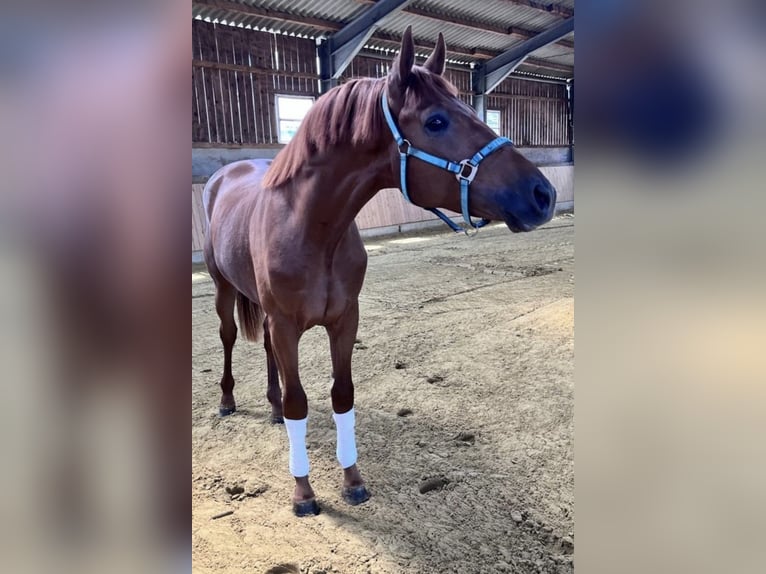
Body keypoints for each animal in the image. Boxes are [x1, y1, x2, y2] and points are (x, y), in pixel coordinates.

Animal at [204, 29, 560, 520]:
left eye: (474, 110)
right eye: (435, 121)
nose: (543, 194)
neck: (311, 228)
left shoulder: (344, 321)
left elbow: (342, 394)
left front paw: (352, 481)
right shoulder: (286, 324)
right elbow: (300, 403)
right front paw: (303, 492)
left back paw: (271, 408)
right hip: (223, 290)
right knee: (229, 337)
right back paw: (227, 401)